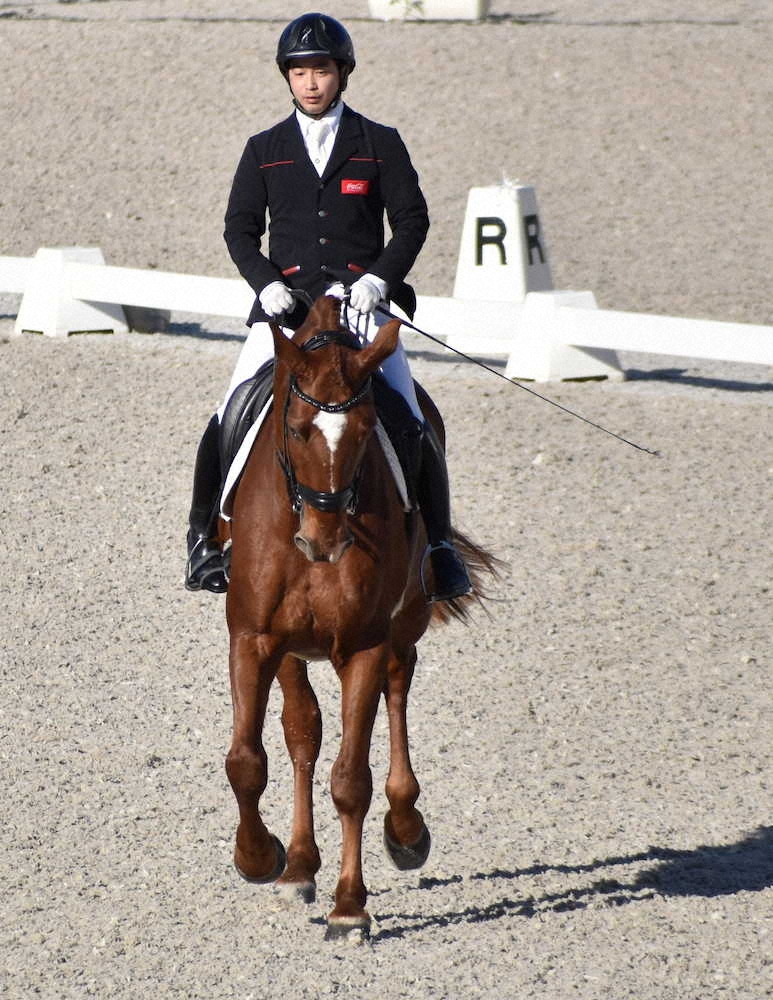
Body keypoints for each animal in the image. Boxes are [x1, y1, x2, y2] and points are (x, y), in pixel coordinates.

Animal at [219, 292, 494, 940]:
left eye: (369, 432)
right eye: (296, 428)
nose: (325, 542)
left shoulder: (365, 644)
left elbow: (351, 780)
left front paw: (349, 907)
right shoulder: (254, 638)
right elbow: (246, 760)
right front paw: (259, 858)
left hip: (405, 622)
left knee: (398, 686)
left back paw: (406, 828)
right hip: (293, 649)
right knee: (302, 732)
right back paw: (298, 866)